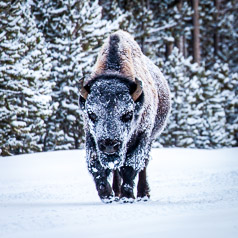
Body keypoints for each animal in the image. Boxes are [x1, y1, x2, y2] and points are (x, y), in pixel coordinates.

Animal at [79, 30, 170, 203]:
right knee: (116, 169)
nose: (109, 145)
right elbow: (97, 167)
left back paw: (142, 194)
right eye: (91, 114)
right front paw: (107, 195)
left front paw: (128, 196)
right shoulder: (91, 138)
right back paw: (117, 192)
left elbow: (130, 167)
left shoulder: (142, 137)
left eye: (128, 114)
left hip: (149, 140)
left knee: (142, 165)